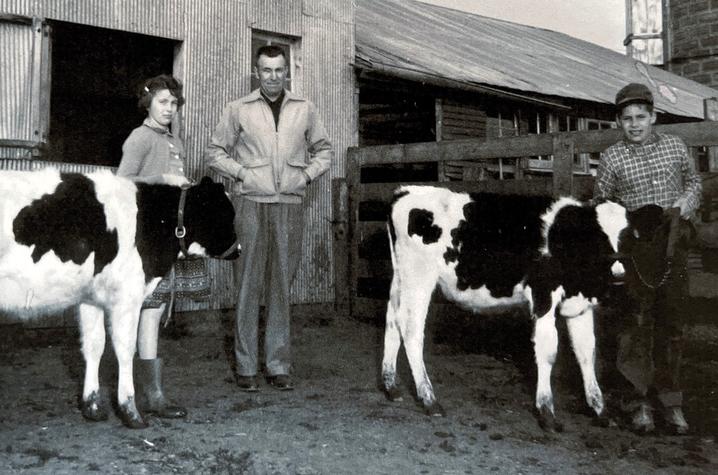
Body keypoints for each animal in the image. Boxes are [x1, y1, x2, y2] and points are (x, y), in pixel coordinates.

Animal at [0, 169, 242, 430]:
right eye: (225, 213)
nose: (239, 250)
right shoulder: (128, 295)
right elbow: (125, 349)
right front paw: (131, 412)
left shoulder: (91, 297)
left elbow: (94, 345)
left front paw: (93, 407)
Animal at [382, 186, 632, 432]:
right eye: (599, 237)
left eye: (627, 236)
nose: (619, 273)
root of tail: (405, 192)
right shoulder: (543, 295)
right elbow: (548, 352)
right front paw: (546, 412)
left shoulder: (580, 306)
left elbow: (587, 352)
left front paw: (600, 410)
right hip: (419, 278)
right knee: (411, 330)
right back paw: (429, 399)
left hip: (400, 279)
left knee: (393, 320)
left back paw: (391, 386)